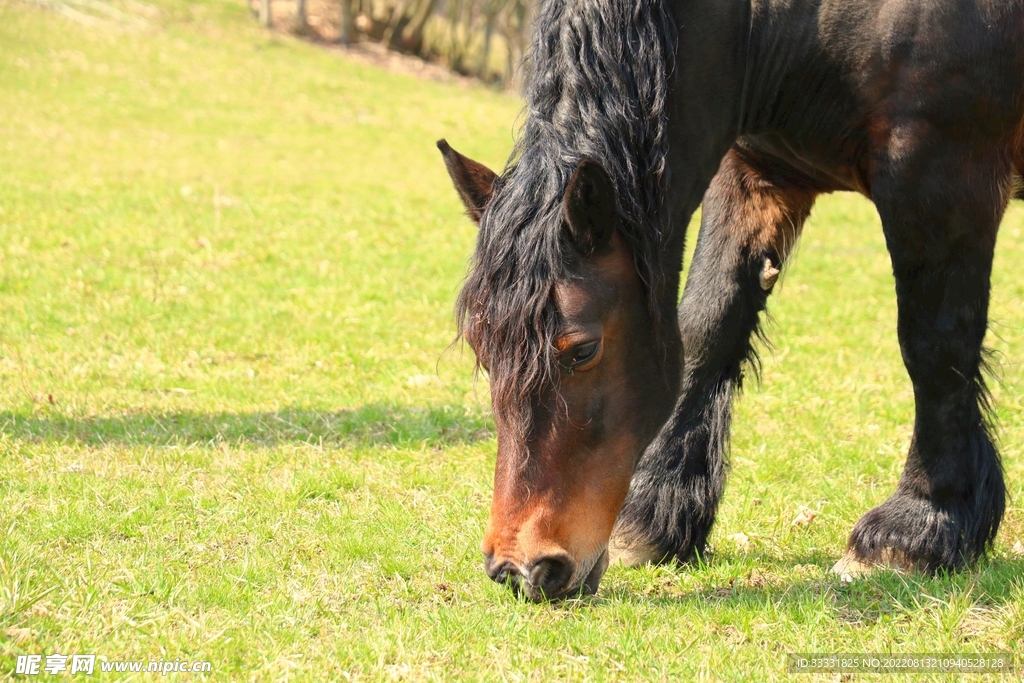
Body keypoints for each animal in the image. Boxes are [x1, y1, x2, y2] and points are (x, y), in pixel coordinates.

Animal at [438, 0, 1024, 601]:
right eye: (483, 351)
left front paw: (920, 526)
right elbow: (707, 327)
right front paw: (655, 513)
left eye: (581, 350)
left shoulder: (939, 176)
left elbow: (935, 347)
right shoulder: (756, 173)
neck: (797, 23)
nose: (519, 568)